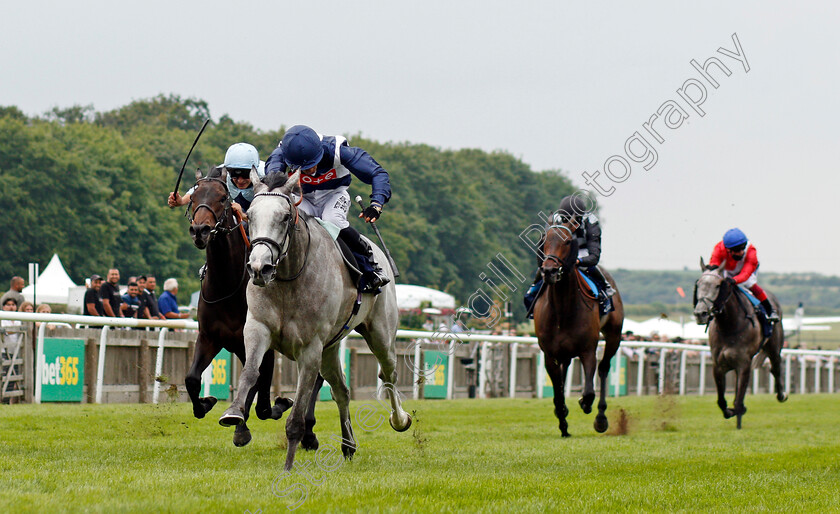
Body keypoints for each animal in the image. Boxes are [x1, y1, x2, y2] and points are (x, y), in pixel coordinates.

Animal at [218, 170, 412, 470]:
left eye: (285, 216)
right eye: (249, 215)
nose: (260, 268)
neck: (287, 279)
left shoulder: (310, 348)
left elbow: (298, 411)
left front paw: (288, 466)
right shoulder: (257, 329)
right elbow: (250, 371)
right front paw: (234, 413)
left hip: (380, 334)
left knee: (389, 373)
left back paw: (399, 419)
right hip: (331, 348)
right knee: (342, 390)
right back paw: (348, 445)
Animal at [536, 214, 620, 434]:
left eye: (567, 241)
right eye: (544, 241)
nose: (549, 270)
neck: (563, 309)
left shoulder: (587, 349)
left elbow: (589, 390)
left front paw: (585, 403)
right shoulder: (549, 354)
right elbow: (558, 392)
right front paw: (563, 422)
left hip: (614, 335)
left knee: (604, 367)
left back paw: (601, 417)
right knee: (564, 373)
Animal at [692, 256, 784, 428]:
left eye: (717, 285)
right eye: (699, 284)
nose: (700, 313)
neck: (729, 326)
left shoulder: (744, 364)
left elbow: (738, 400)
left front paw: (738, 418)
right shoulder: (718, 365)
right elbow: (721, 400)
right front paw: (729, 412)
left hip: (774, 346)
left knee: (776, 367)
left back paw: (782, 394)